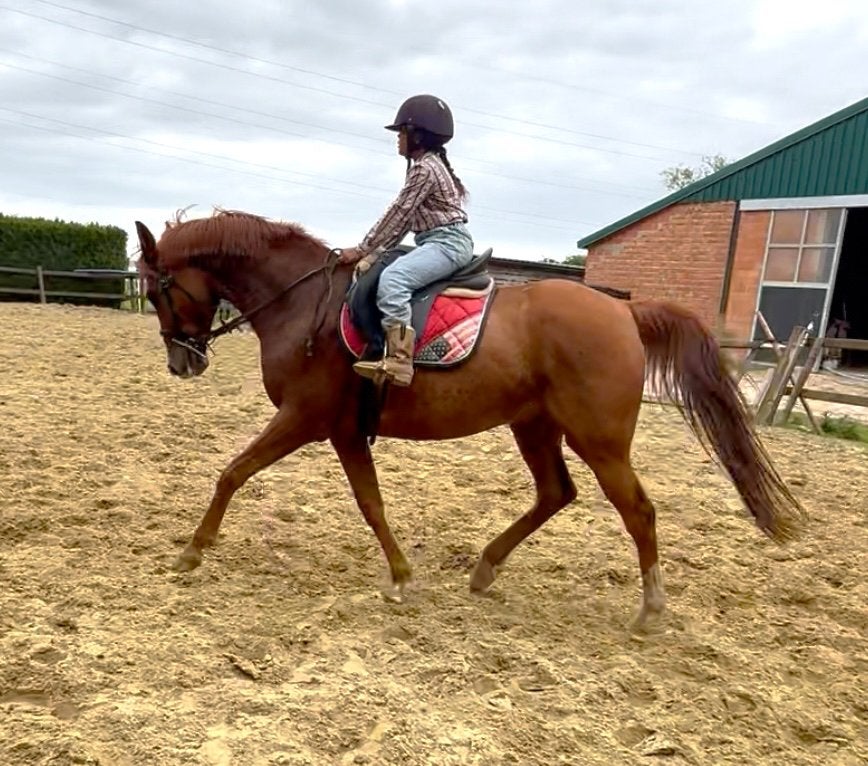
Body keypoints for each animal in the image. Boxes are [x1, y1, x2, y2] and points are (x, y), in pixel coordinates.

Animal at [134, 209, 805, 629]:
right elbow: (370, 502)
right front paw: (402, 576)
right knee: (556, 492)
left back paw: (649, 611)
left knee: (637, 510)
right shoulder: (344, 430)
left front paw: (192, 551)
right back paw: (485, 568)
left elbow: (233, 472)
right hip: (535, 426)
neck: (303, 304)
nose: (180, 361)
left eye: (157, 287)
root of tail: (625, 313)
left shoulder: (306, 419)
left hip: (599, 439)